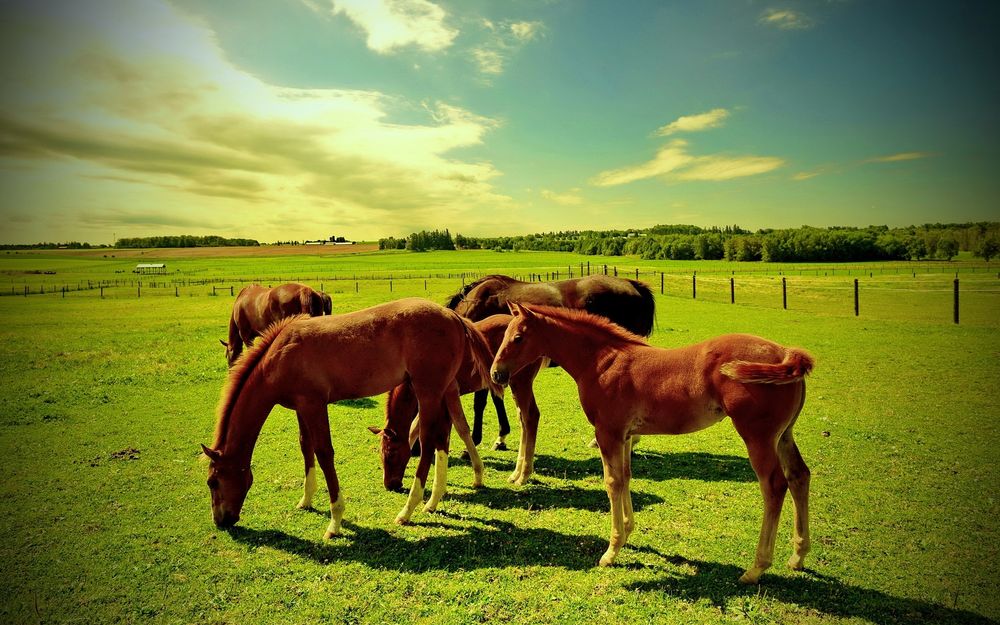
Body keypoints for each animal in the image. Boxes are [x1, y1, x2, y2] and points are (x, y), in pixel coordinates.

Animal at [202, 296, 500, 536]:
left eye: (212, 481)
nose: (221, 521)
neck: (281, 355)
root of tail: (453, 316)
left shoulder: (314, 404)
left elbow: (324, 453)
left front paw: (335, 520)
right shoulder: (300, 407)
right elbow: (306, 447)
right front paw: (306, 499)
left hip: (428, 391)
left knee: (427, 444)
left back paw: (407, 511)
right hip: (446, 389)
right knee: (442, 438)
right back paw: (433, 500)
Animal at [370, 314, 548, 490]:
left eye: (392, 453)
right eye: (380, 453)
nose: (390, 485)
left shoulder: (443, 395)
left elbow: (459, 428)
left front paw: (476, 475)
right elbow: (416, 427)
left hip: (521, 382)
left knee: (531, 416)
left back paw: (523, 474)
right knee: (523, 420)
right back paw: (517, 470)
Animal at [490, 302, 812, 584]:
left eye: (518, 337)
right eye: (503, 336)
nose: (496, 373)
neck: (601, 362)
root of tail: (785, 353)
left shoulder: (608, 433)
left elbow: (612, 482)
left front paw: (611, 551)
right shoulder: (625, 435)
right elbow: (626, 477)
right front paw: (628, 531)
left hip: (758, 437)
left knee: (774, 486)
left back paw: (756, 569)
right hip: (784, 435)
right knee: (799, 476)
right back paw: (798, 556)